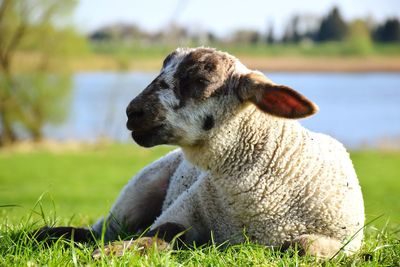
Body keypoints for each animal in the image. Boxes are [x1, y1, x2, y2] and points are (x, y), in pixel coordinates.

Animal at [37, 47, 366, 260]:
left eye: (201, 81)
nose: (133, 113)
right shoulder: (181, 212)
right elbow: (156, 235)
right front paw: (113, 253)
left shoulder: (346, 241)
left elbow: (302, 246)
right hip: (138, 191)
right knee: (104, 228)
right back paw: (55, 233)